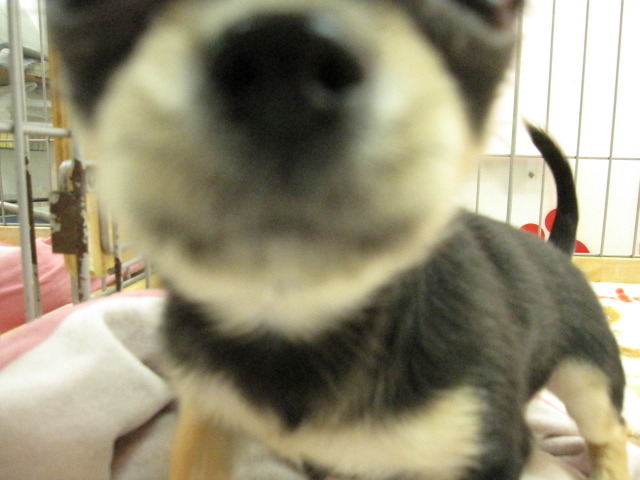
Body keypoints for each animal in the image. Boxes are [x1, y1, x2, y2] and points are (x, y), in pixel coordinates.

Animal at [46, 0, 630, 479]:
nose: (284, 59)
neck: (293, 318)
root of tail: (555, 249)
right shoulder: (208, 413)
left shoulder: (483, 445)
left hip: (586, 376)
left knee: (610, 431)